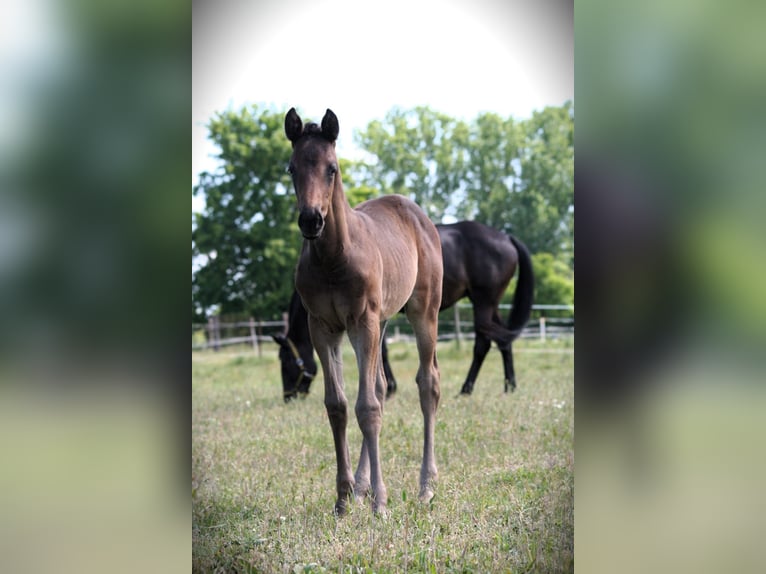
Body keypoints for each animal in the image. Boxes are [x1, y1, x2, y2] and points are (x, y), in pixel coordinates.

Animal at [274, 221, 534, 398]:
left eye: (285, 362)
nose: (289, 397)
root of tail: (505, 237)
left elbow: (382, 351)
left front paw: (389, 387)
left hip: (483, 302)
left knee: (485, 342)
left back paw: (467, 388)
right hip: (490, 304)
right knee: (503, 340)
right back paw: (509, 385)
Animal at [284, 107, 443, 515]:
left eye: (332, 168)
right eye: (291, 168)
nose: (311, 220)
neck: (333, 258)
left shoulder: (362, 322)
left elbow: (367, 408)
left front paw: (380, 504)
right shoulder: (323, 327)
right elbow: (339, 406)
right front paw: (343, 498)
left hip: (422, 311)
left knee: (427, 383)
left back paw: (426, 486)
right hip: (382, 321)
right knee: (381, 387)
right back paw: (361, 487)